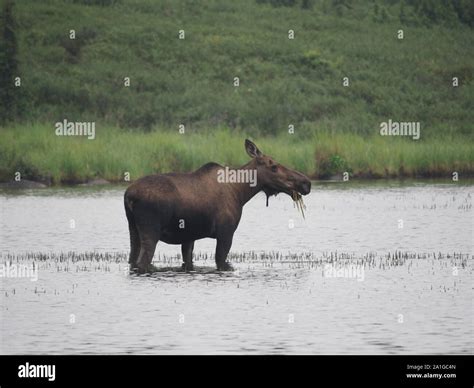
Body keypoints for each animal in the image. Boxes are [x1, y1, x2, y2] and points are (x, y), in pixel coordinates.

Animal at [124, 139, 312, 272]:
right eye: (273, 166)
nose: (306, 183)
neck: (241, 193)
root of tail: (129, 196)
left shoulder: (189, 237)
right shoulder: (226, 233)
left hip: (133, 229)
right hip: (150, 230)